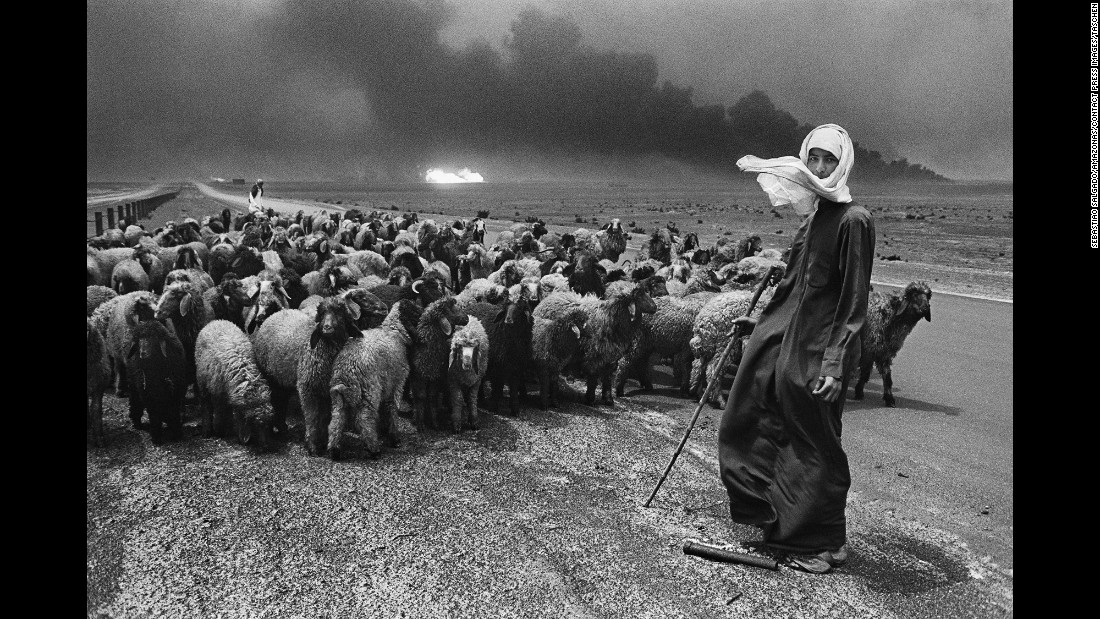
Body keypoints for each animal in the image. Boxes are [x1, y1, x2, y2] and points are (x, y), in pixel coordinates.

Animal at [124, 316, 187, 444]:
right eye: (139, 340)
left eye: (153, 338)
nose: (143, 353)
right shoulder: (149, 395)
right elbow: (154, 414)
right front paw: (156, 437)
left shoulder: (175, 393)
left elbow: (174, 412)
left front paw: (176, 433)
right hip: (134, 387)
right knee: (135, 403)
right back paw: (137, 423)